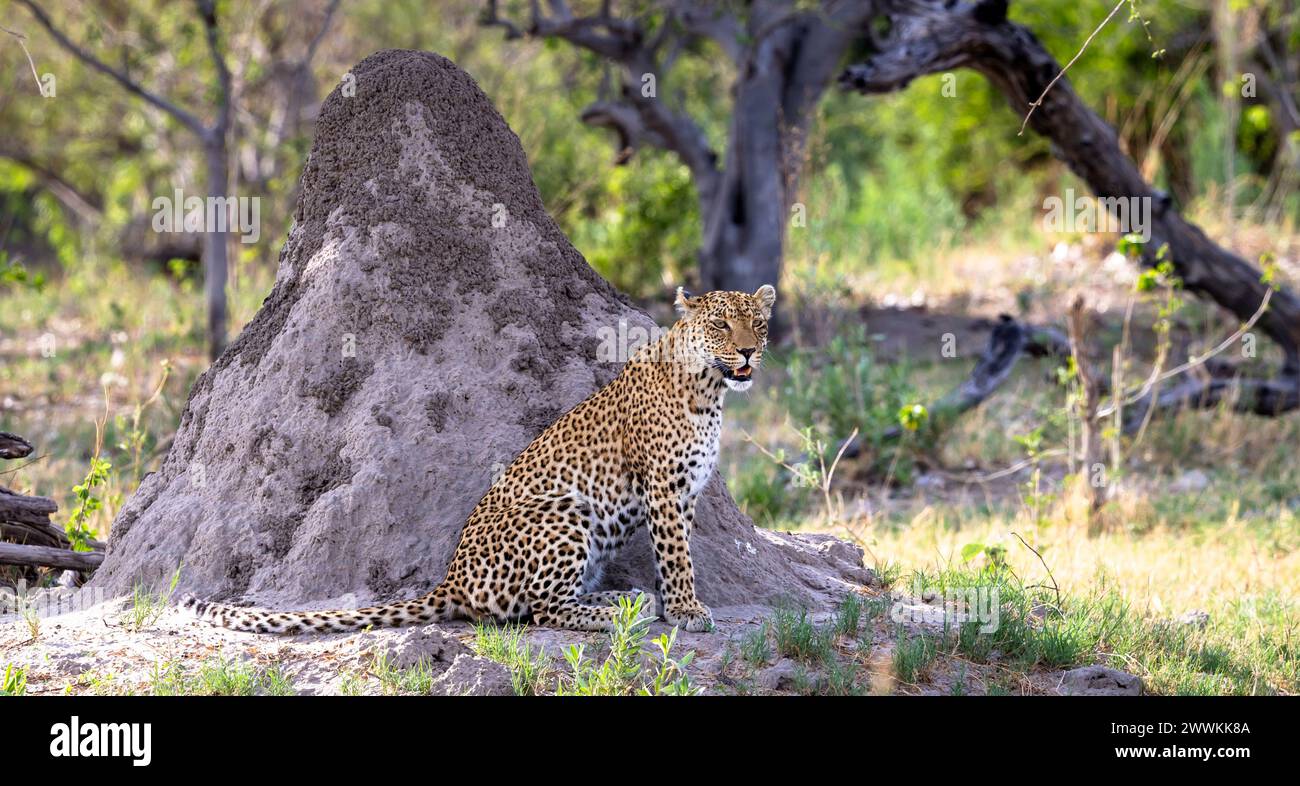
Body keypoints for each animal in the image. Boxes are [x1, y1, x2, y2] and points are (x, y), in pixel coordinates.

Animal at [181, 285, 775, 634]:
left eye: (758, 323)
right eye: (722, 325)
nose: (749, 350)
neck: (710, 389)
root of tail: (453, 577)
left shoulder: (687, 490)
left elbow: (678, 553)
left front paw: (677, 603)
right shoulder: (663, 487)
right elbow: (676, 555)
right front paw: (688, 610)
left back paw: (625, 599)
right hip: (564, 511)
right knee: (544, 609)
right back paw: (613, 613)